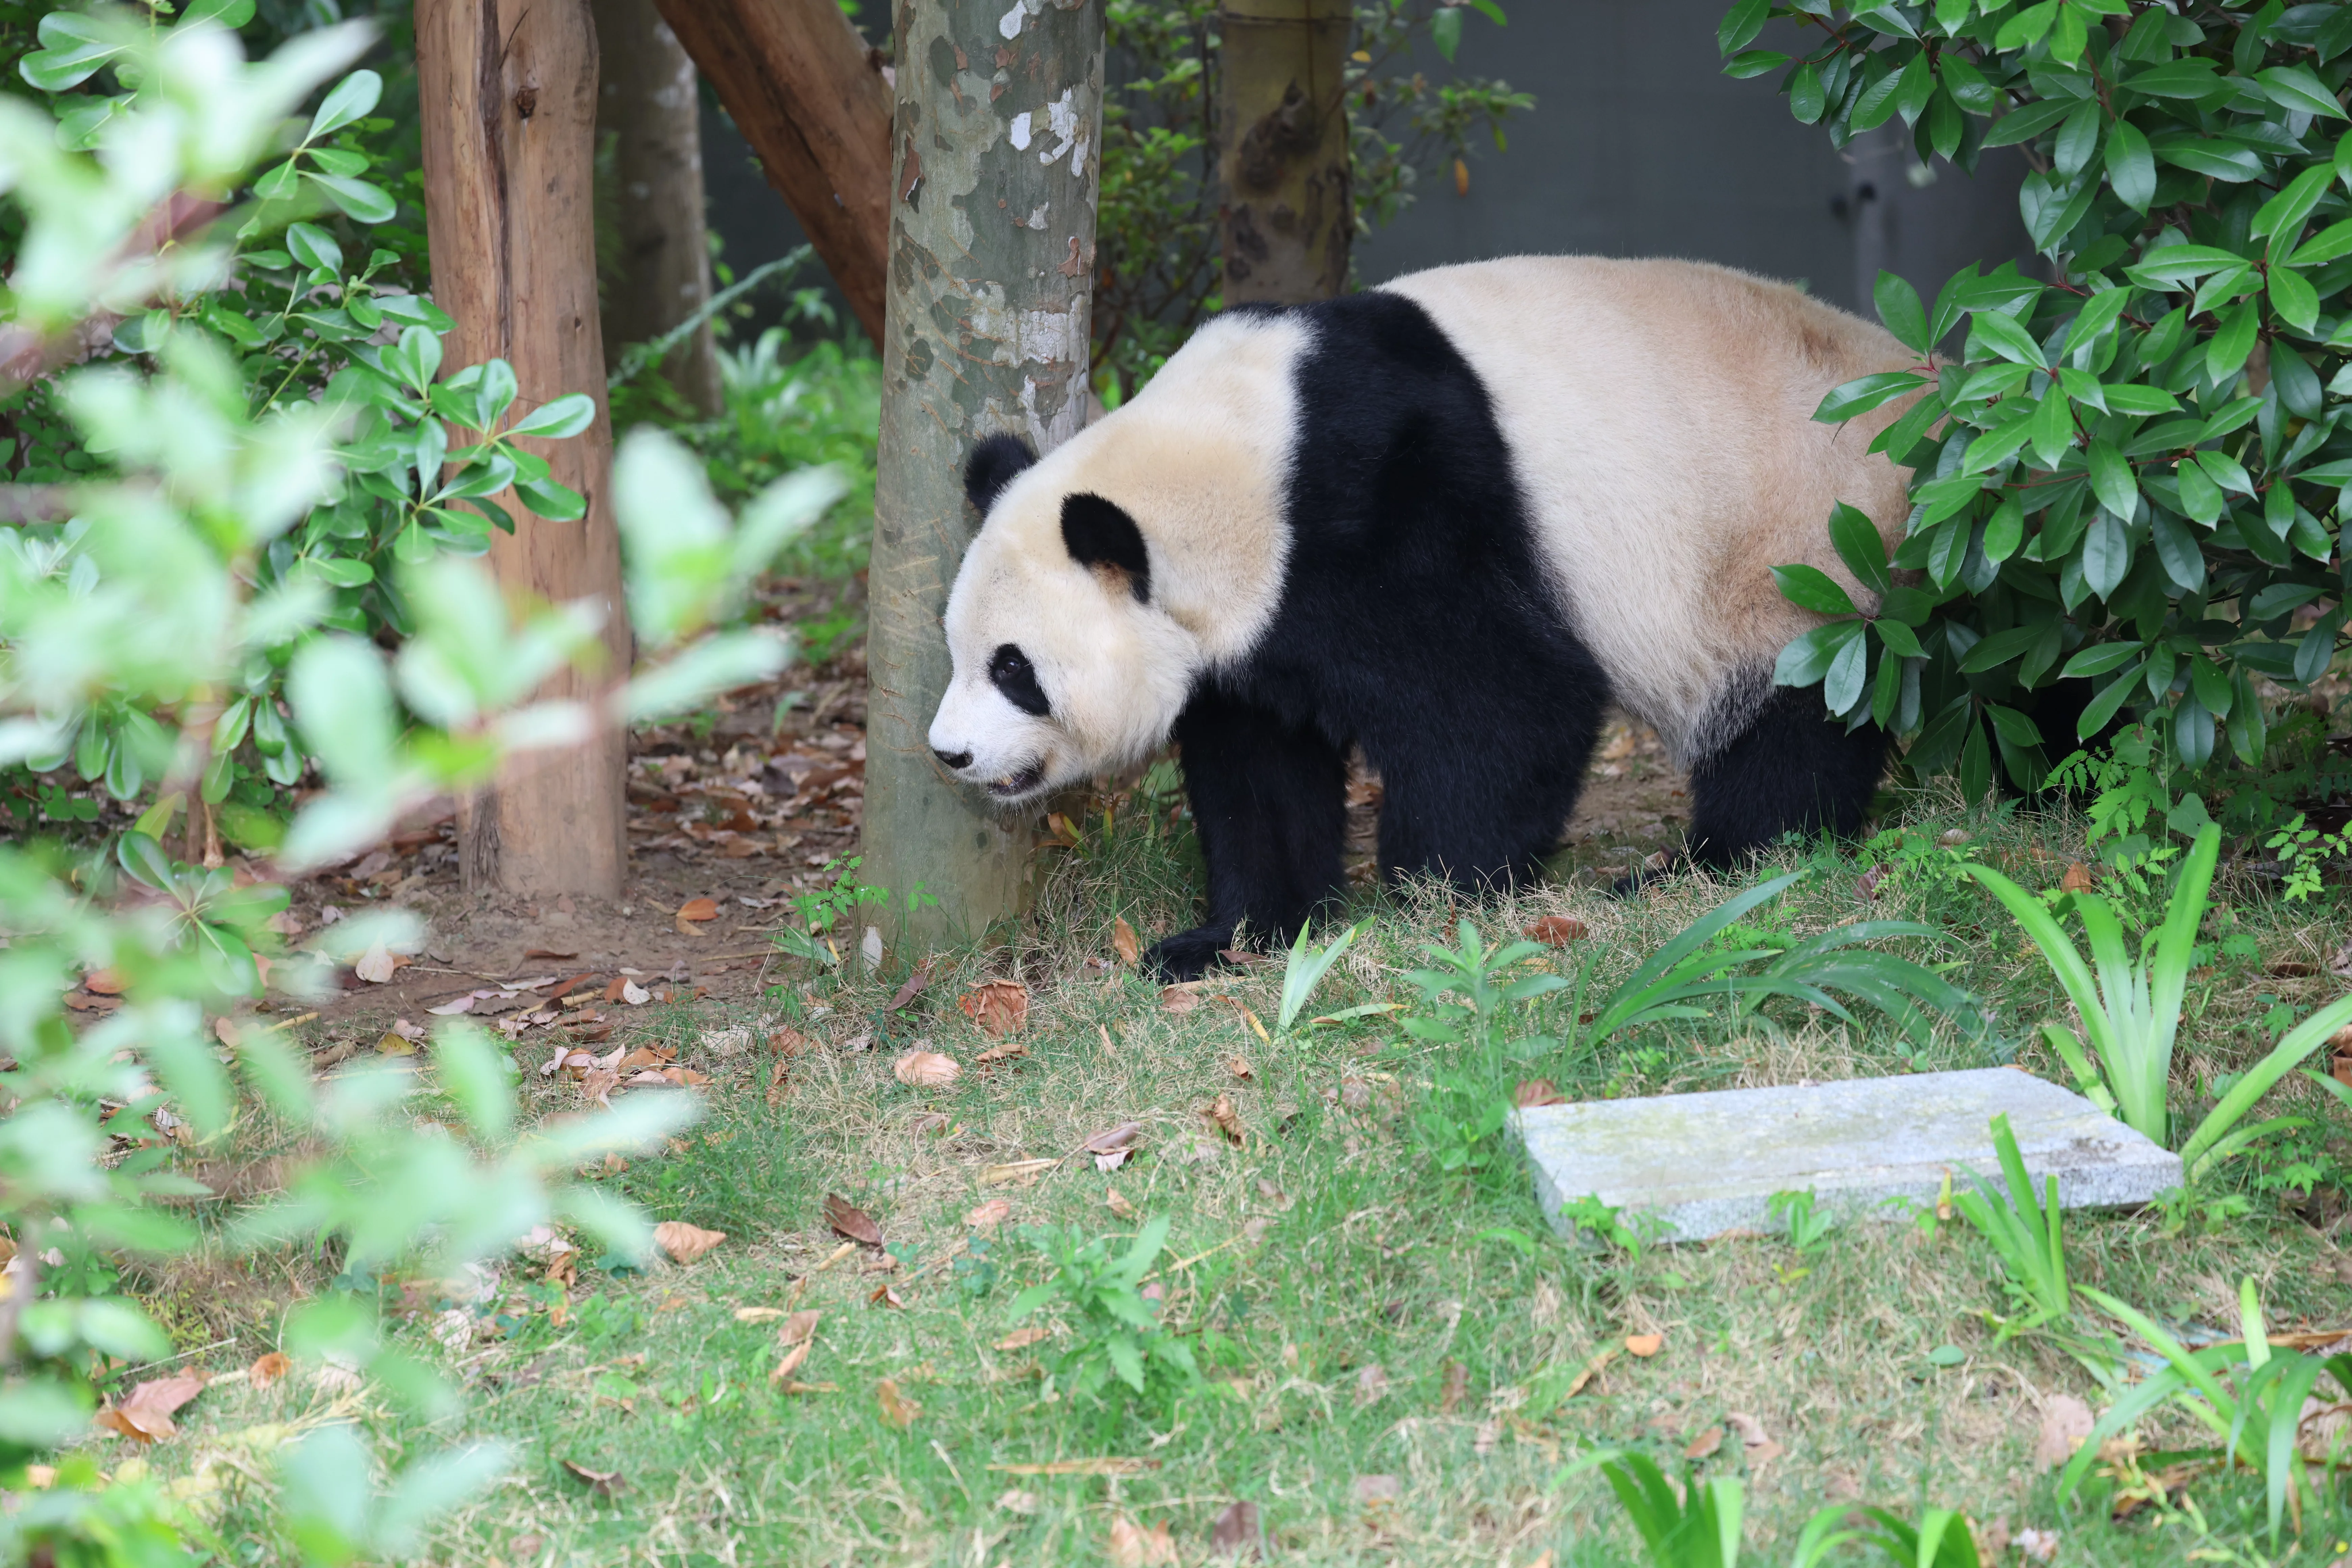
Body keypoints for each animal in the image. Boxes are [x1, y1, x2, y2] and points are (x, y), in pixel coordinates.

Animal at [926, 255, 1922, 980]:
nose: (951, 754)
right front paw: (1229, 937)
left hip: (1807, 549)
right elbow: (1261, 771)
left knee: (1791, 711)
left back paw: (1719, 861)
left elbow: (1505, 698)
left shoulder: (1387, 502)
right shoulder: (1252, 628)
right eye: (958, 652)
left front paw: (1438, 891)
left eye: (1013, 667)